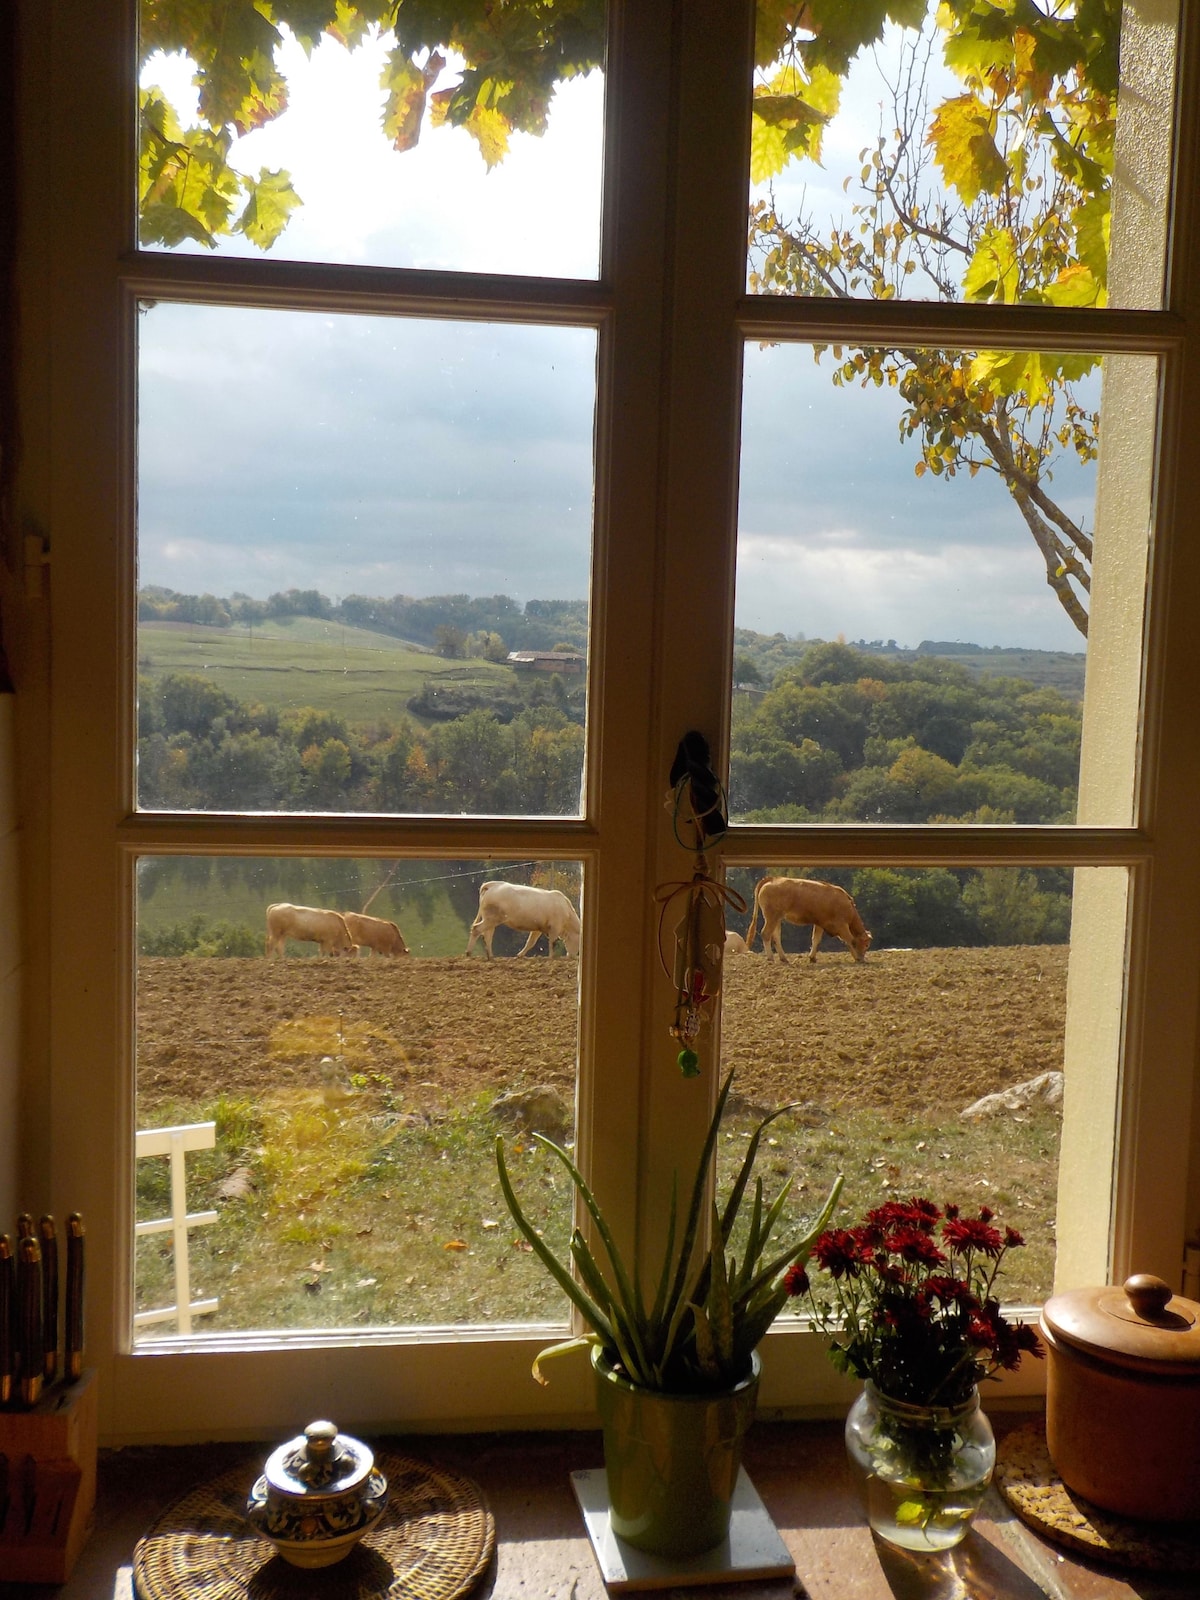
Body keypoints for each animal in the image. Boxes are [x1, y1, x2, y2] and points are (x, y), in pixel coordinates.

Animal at [742, 876, 876, 960]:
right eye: (866, 945)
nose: (863, 958)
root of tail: (773, 879)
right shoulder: (841, 925)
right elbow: (850, 940)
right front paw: (857, 958)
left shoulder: (820, 923)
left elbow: (815, 939)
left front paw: (812, 957)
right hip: (772, 917)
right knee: (766, 934)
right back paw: (770, 958)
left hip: (777, 918)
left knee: (775, 936)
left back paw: (783, 958)